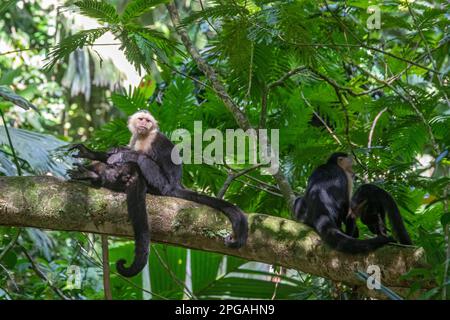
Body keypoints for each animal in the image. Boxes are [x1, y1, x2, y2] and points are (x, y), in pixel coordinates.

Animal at [68, 111, 248, 276]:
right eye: (141, 119)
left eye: (148, 121)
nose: (144, 124)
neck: (143, 136)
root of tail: (175, 186)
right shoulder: (134, 138)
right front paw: (91, 153)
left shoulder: (153, 139)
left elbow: (139, 155)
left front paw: (120, 154)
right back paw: (95, 175)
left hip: (163, 184)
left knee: (142, 161)